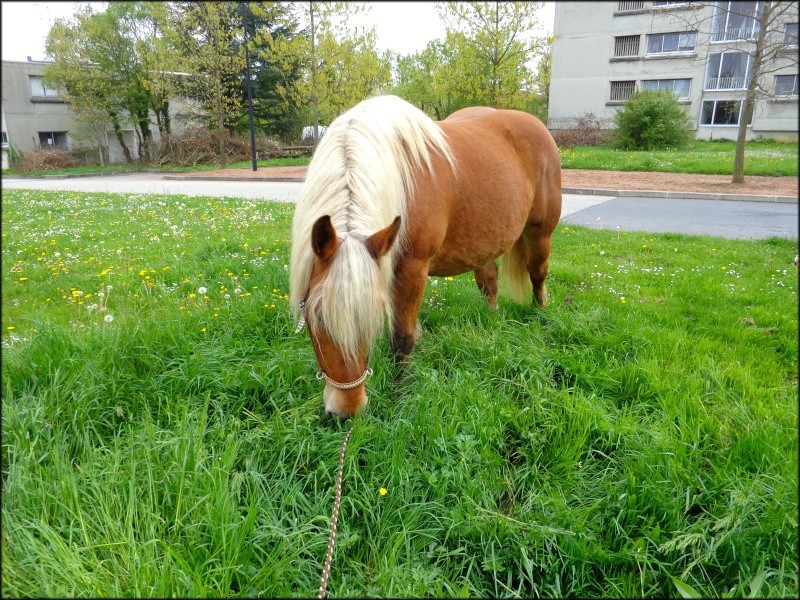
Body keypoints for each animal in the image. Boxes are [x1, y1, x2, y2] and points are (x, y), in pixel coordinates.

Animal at [290, 97, 564, 418]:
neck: (398, 180)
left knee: (538, 274)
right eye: (317, 316)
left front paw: (401, 392)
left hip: (540, 235)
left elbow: (402, 337)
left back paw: (541, 315)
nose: (347, 410)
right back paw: (490, 320)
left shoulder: (412, 270)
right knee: (489, 281)